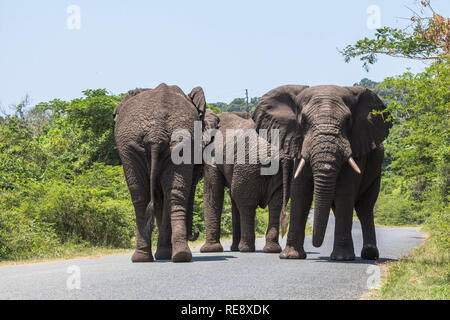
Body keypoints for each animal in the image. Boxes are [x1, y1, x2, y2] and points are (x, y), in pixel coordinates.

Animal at [112, 83, 218, 262]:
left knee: (151, 196)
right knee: (159, 195)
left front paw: (163, 253)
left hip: (160, 145)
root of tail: (157, 131)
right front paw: (164, 253)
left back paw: (162, 256)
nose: (196, 234)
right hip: (134, 145)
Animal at [200, 111, 292, 254]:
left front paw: (208, 250)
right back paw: (271, 249)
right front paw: (232, 249)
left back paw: (245, 249)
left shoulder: (212, 155)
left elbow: (213, 193)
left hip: (248, 166)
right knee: (275, 205)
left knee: (245, 204)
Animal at [251, 85, 392, 260]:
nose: (316, 246)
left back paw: (369, 254)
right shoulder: (299, 142)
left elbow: (345, 192)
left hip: (376, 170)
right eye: (303, 121)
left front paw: (342, 258)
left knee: (364, 207)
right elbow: (300, 192)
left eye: (348, 121)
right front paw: (291, 256)